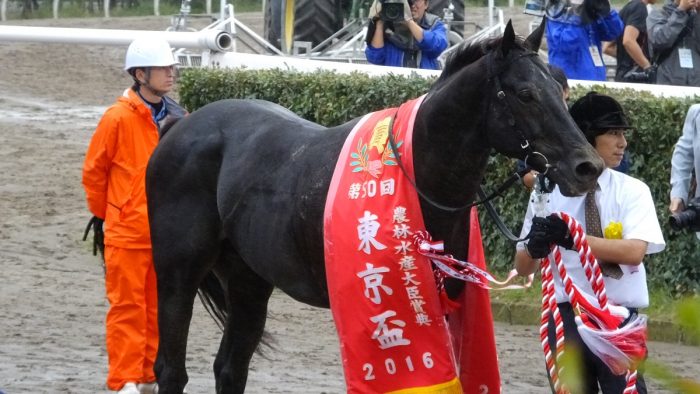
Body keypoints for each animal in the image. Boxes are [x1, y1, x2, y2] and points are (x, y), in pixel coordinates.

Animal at [146, 21, 600, 394]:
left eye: (560, 87)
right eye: (526, 94)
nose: (587, 166)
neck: (419, 179)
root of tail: (180, 126)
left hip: (248, 279)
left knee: (230, 368)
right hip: (178, 275)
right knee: (171, 370)